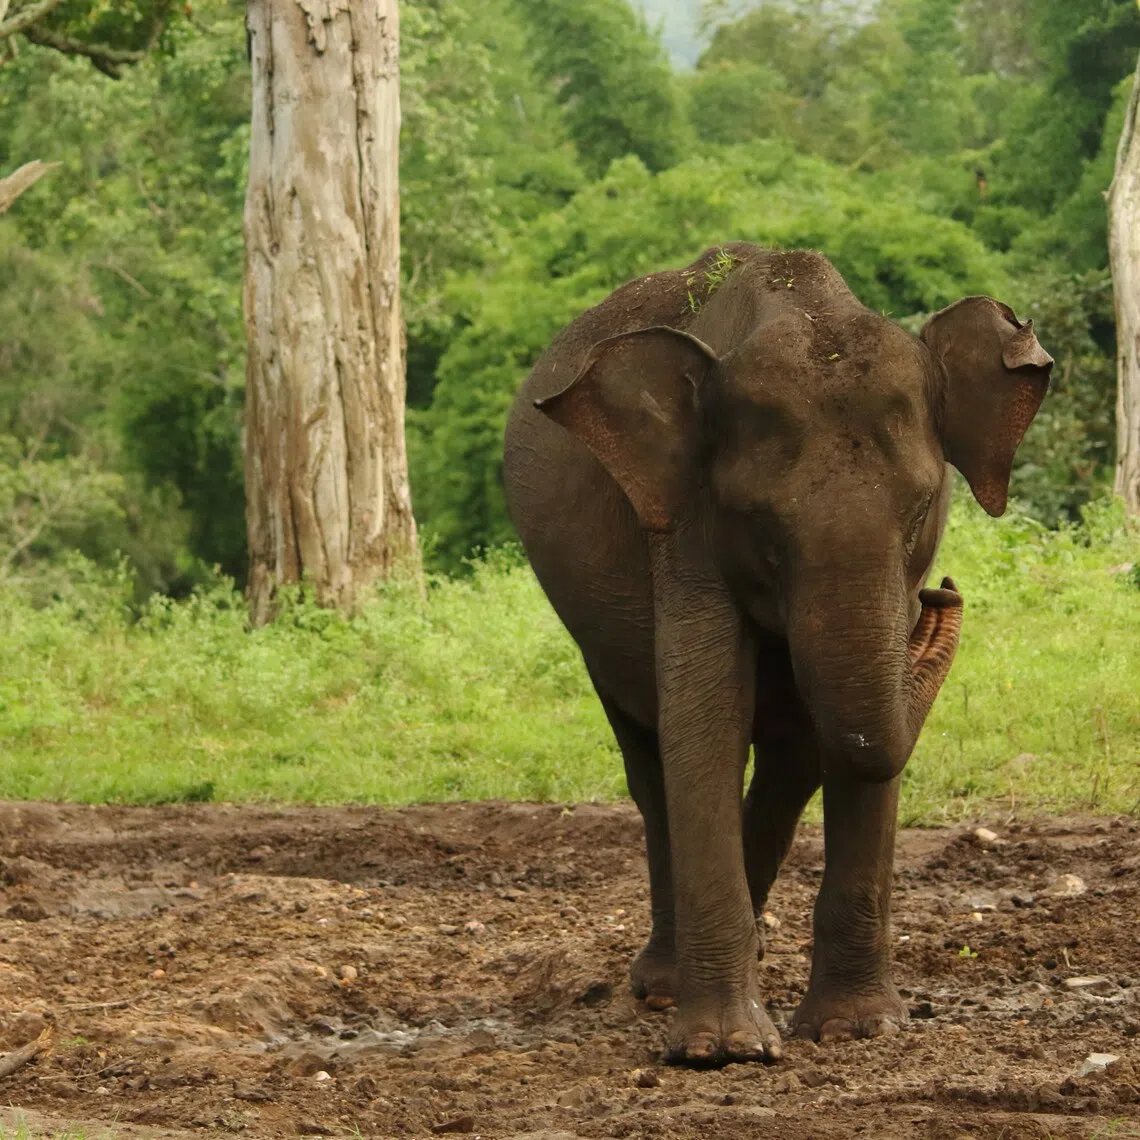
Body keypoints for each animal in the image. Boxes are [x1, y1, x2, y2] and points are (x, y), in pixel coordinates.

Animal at [502, 243, 1052, 1066]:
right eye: (760, 524)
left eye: (923, 509)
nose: (941, 598)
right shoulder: (685, 523)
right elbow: (707, 716)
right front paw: (723, 1051)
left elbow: (854, 746)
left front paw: (858, 1029)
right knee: (649, 762)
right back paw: (662, 985)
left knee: (793, 762)